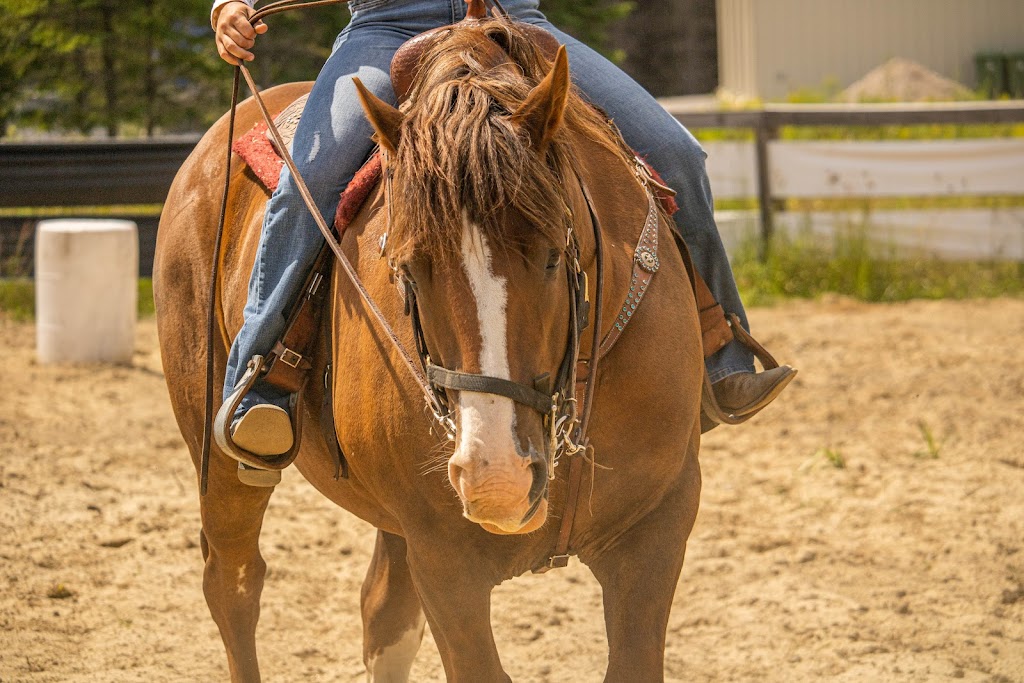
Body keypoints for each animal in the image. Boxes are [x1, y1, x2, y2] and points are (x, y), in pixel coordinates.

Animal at [155, 18, 704, 679]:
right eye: (409, 270)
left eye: (553, 255)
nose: (497, 478)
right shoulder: (445, 562)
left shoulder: (657, 532)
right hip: (220, 461)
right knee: (234, 585)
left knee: (383, 613)